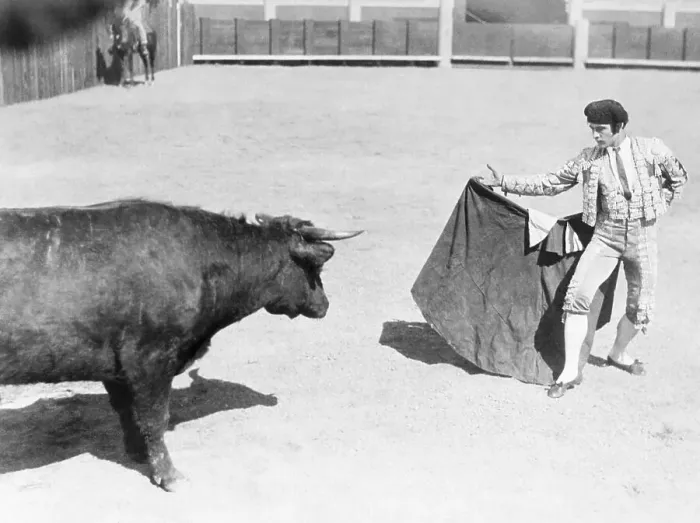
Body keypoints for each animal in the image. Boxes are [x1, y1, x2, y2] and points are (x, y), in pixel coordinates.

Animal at [0, 199, 363, 491]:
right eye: (316, 265)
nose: (324, 305)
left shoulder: (116, 367)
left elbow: (127, 412)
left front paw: (137, 452)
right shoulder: (150, 360)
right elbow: (154, 417)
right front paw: (170, 475)